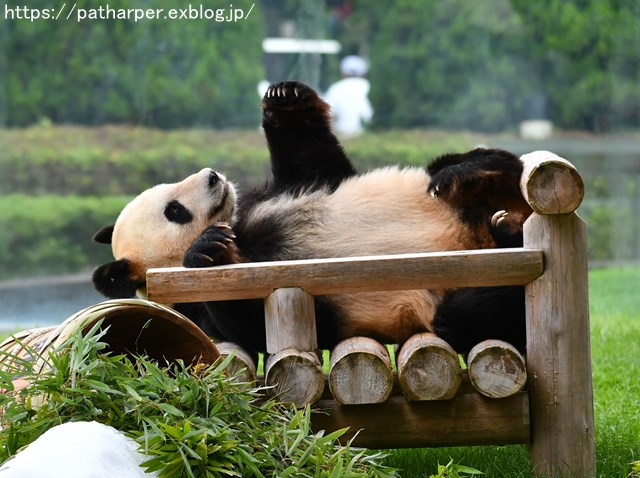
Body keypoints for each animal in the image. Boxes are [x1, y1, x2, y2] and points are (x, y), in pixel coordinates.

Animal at [92, 80, 532, 352]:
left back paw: (469, 178)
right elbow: (250, 324)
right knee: (466, 313)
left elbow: (315, 161)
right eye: (175, 211)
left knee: (477, 165)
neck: (242, 228)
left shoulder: (287, 191)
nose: (213, 177)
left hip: (456, 192)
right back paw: (505, 234)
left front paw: (285, 98)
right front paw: (208, 251)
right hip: (450, 295)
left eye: (170, 188)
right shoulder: (195, 307)